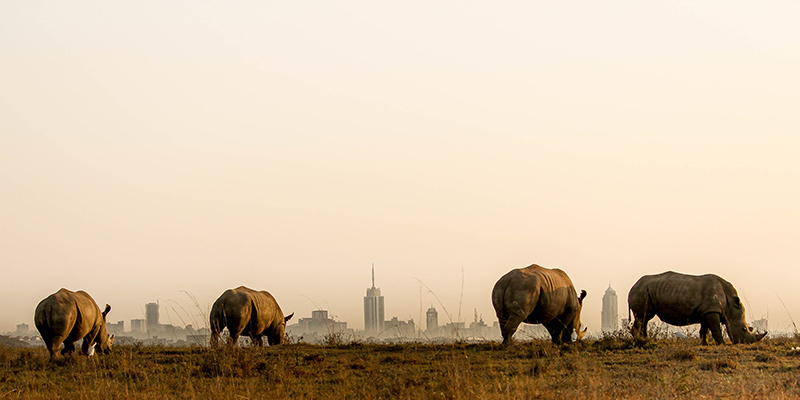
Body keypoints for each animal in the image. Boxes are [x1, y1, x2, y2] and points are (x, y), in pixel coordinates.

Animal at [628, 271, 767, 345]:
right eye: (744, 329)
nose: (746, 343)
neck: (730, 306)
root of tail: (633, 286)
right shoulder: (712, 310)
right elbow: (715, 329)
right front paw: (722, 344)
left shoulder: (706, 311)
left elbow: (705, 330)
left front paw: (705, 344)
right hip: (641, 292)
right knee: (643, 317)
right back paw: (639, 340)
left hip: (647, 290)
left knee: (644, 319)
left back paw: (645, 339)